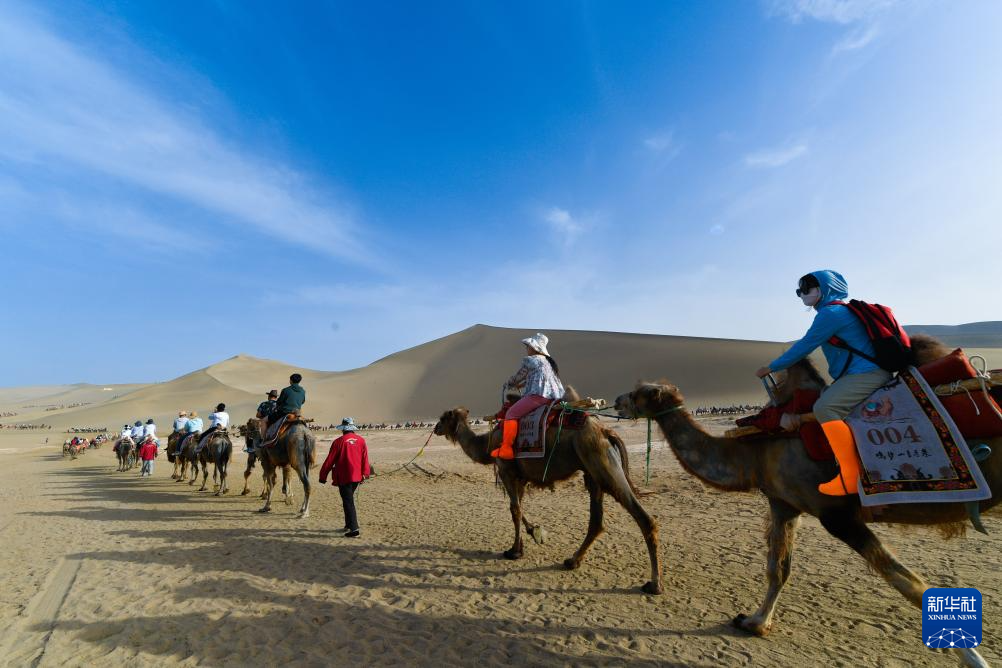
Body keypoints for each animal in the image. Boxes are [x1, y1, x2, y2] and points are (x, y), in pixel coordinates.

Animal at [433, 400, 663, 594]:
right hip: (592, 472)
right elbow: (520, 508)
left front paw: (514, 551)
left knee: (642, 517)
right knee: (596, 521)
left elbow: (514, 510)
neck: (487, 444)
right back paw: (572, 561)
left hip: (601, 462)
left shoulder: (506, 470)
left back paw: (654, 585)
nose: (435, 429)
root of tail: (606, 431)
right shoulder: (521, 477)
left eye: (443, 417)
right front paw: (533, 533)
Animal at [613, 343, 1001, 667]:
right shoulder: (784, 502)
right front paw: (755, 622)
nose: (616, 401)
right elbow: (778, 568)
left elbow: (907, 581)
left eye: (642, 392)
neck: (754, 451)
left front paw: (973, 658)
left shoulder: (836, 515)